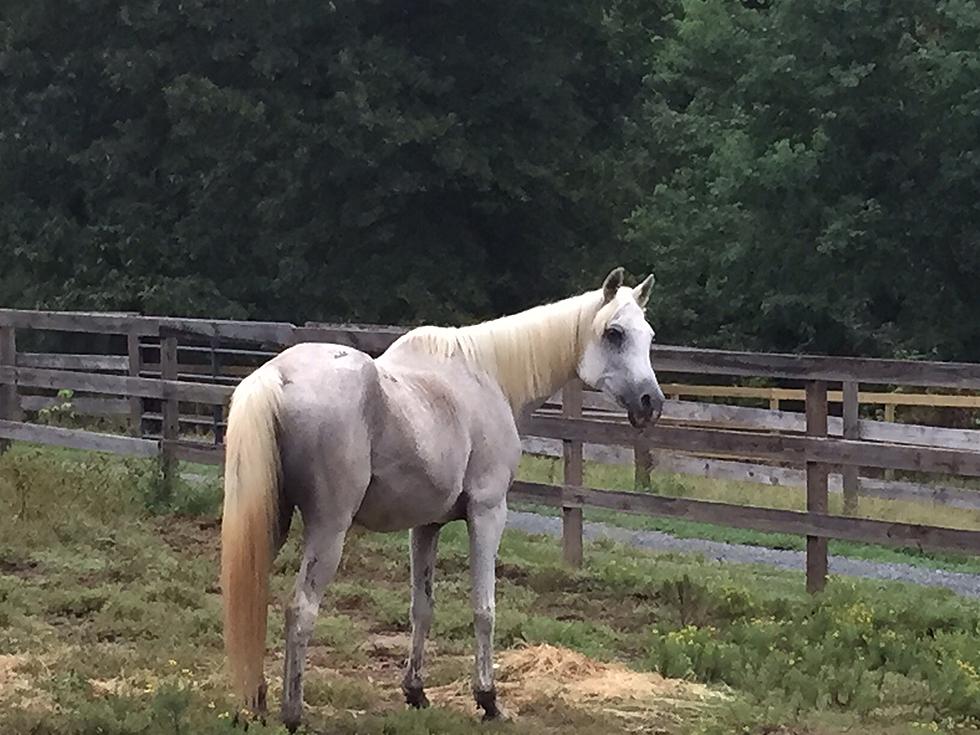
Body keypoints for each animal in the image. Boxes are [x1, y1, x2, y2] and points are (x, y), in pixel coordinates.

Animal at [222, 266, 668, 732]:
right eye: (614, 333)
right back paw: (292, 714)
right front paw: (488, 699)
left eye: (649, 335)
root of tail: (277, 377)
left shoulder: (426, 525)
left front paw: (415, 691)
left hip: (271, 522)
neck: (488, 377)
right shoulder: (488, 513)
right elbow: (484, 609)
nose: (650, 403)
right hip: (328, 530)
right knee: (301, 609)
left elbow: (423, 607)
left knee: (254, 597)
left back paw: (256, 703)